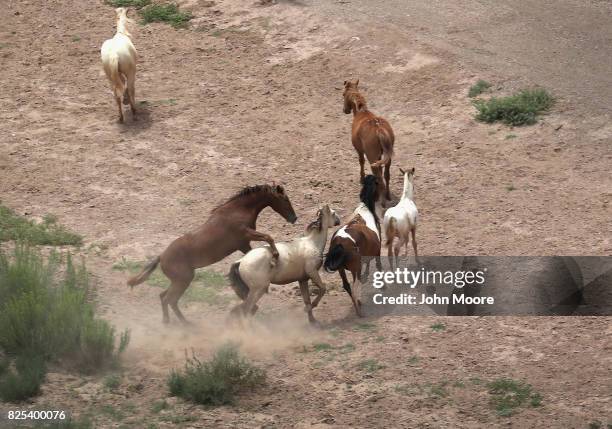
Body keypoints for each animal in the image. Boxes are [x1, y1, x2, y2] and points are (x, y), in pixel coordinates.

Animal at [126, 183, 296, 320]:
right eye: (285, 200)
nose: (294, 218)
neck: (238, 210)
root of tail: (161, 257)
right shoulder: (246, 235)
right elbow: (268, 236)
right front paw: (275, 256)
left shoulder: (243, 244)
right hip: (183, 280)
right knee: (170, 300)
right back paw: (186, 324)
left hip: (178, 281)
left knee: (163, 297)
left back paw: (168, 322)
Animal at [322, 173, 380, 314]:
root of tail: (339, 243)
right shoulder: (377, 251)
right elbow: (378, 266)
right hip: (355, 269)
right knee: (354, 287)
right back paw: (360, 310)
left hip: (342, 270)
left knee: (347, 286)